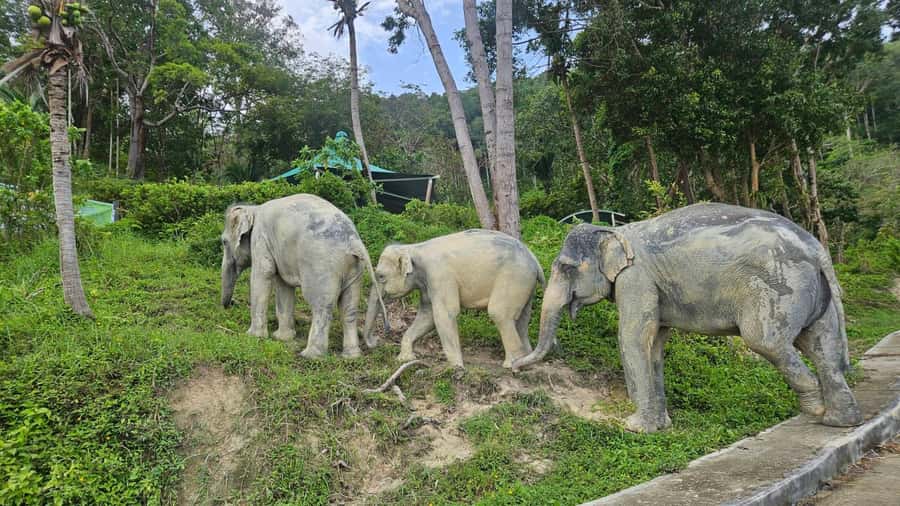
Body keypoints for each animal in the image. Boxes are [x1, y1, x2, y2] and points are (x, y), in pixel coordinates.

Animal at [220, 193, 387, 358]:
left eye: (224, 242)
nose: (230, 304)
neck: (254, 209)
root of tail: (354, 242)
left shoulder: (261, 239)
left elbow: (263, 274)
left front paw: (253, 336)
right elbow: (284, 285)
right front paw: (282, 338)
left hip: (322, 267)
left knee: (321, 306)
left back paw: (310, 355)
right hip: (355, 269)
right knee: (349, 308)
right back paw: (351, 356)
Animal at [362, 229, 545, 368]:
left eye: (380, 276)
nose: (377, 340)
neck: (414, 247)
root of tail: (535, 260)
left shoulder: (439, 275)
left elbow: (445, 314)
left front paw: (455, 367)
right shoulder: (428, 283)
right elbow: (427, 316)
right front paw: (404, 359)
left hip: (514, 278)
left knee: (499, 313)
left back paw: (510, 365)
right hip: (525, 285)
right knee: (521, 320)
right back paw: (526, 361)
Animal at [513, 202, 862, 433]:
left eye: (566, 267)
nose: (514, 366)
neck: (615, 231)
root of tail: (816, 249)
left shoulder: (636, 278)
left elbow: (633, 338)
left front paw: (636, 428)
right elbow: (654, 344)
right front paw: (661, 426)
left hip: (779, 287)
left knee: (766, 342)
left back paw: (814, 409)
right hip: (816, 295)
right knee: (822, 346)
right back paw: (840, 422)